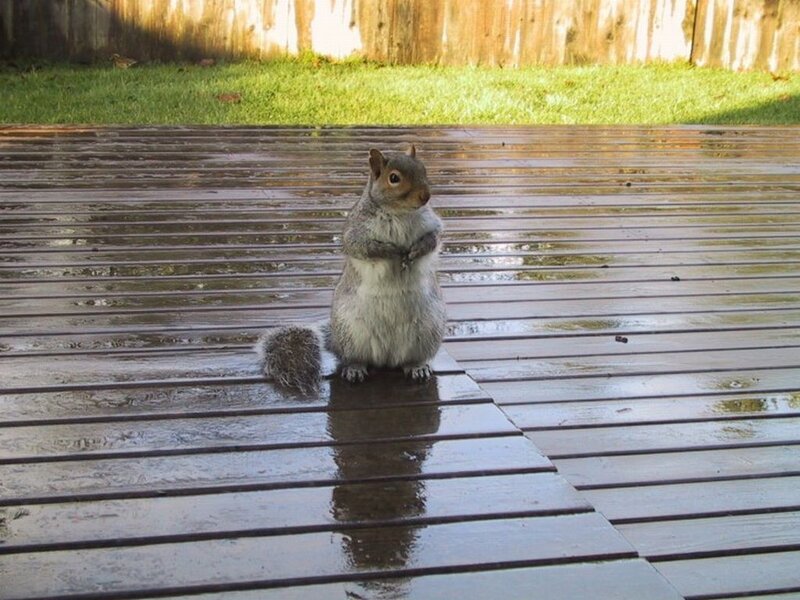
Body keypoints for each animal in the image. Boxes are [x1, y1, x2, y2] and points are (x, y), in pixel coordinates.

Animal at [256, 144, 446, 392]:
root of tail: (387, 359)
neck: (399, 213)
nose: (426, 196)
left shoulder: (431, 224)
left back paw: (417, 366)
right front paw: (391, 251)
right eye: (394, 178)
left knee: (410, 360)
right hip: (352, 335)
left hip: (427, 332)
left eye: (423, 169)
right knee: (355, 358)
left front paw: (415, 251)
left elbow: (433, 239)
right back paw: (355, 369)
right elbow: (363, 247)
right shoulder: (356, 231)